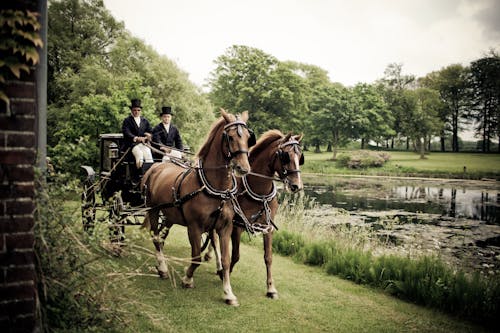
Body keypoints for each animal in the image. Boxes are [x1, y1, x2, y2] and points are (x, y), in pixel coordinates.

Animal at [143, 109, 256, 306]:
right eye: (231, 137)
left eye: (249, 137)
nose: (243, 168)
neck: (216, 189)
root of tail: (156, 167)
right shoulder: (194, 227)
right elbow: (195, 256)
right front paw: (187, 279)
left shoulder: (224, 227)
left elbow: (226, 260)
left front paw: (228, 292)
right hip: (153, 209)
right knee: (156, 238)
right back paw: (162, 267)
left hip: (170, 215)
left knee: (162, 238)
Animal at [205, 130, 302, 298]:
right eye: (286, 156)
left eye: (300, 156)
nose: (297, 185)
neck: (259, 192)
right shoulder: (237, 226)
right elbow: (235, 255)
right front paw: (224, 274)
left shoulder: (268, 228)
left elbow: (268, 257)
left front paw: (271, 288)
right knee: (213, 237)